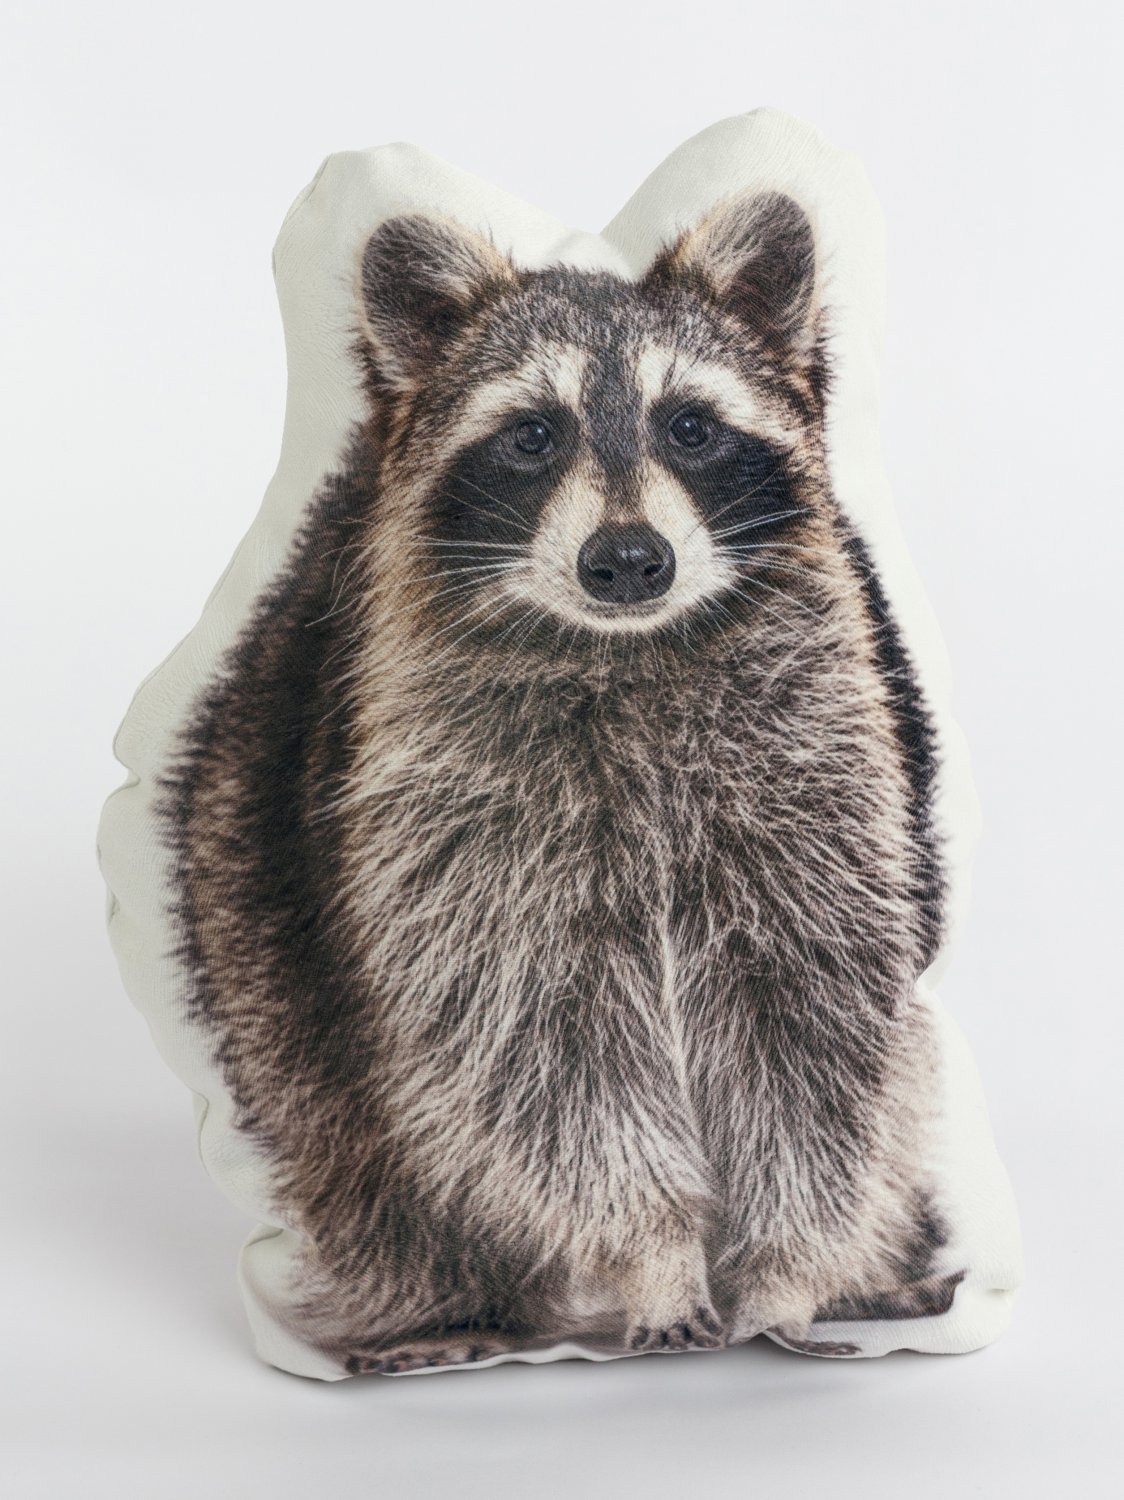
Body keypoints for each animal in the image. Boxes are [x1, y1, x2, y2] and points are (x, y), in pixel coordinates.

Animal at [167, 191, 963, 1375]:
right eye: (531, 436)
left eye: (690, 426)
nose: (628, 560)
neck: (627, 652)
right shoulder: (451, 823)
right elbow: (538, 1054)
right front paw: (655, 1254)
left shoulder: (819, 779)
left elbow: (815, 1037)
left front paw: (782, 1275)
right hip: (248, 897)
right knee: (346, 1136)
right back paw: (454, 1307)